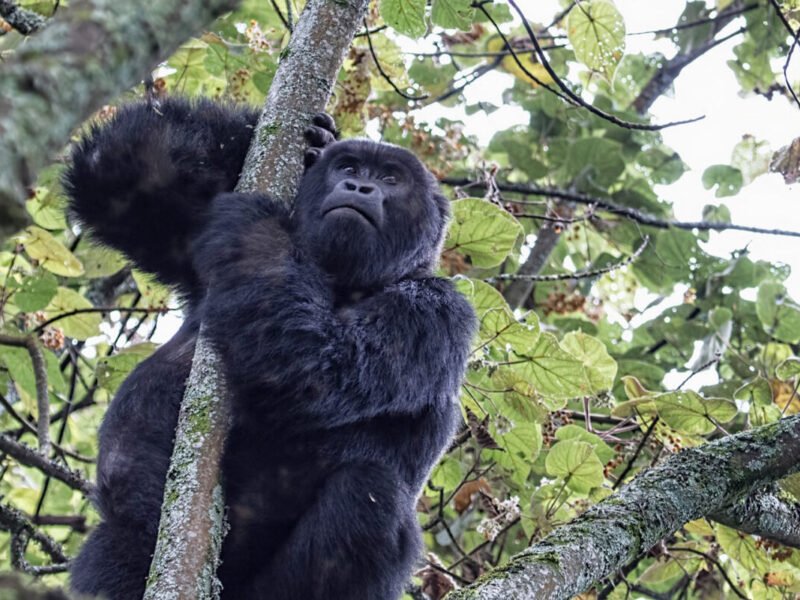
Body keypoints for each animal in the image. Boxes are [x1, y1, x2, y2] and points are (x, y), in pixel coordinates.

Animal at [65, 99, 476, 600]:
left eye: (392, 178)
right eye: (349, 167)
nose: (359, 186)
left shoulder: (441, 310)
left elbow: (315, 370)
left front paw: (256, 227)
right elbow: (126, 171)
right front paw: (316, 139)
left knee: (370, 492)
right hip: (128, 552)